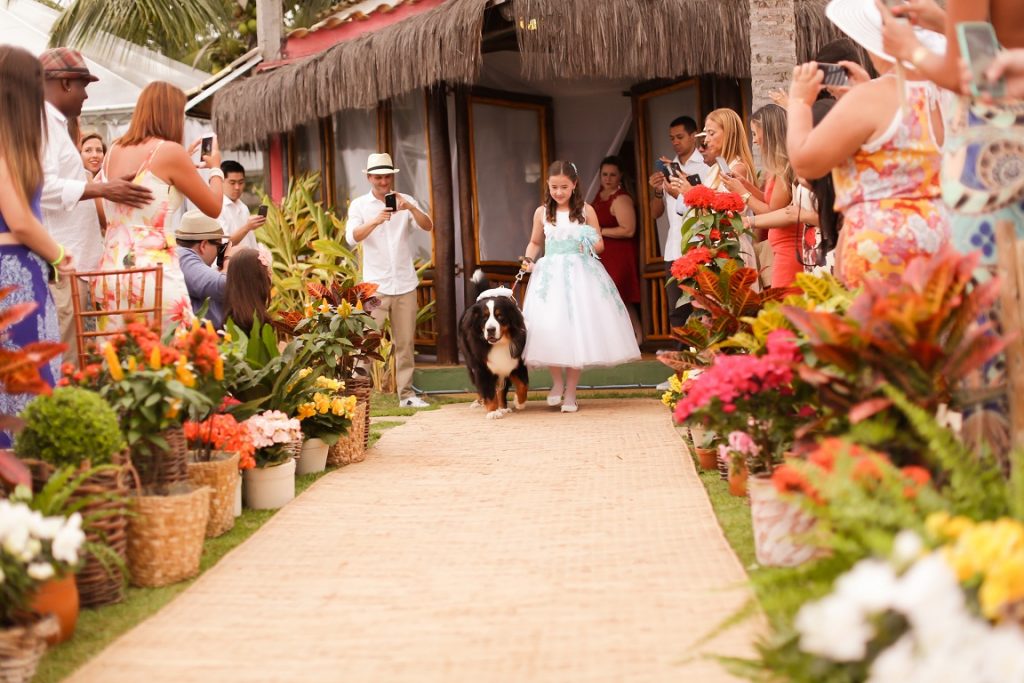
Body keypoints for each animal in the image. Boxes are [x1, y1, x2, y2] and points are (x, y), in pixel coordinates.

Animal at [460, 270, 532, 419]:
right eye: (484, 318)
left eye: (500, 316)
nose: (491, 329)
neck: (499, 344)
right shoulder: (482, 368)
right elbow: (488, 390)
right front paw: (492, 411)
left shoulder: (516, 363)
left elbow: (523, 385)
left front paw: (519, 402)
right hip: (471, 364)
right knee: (480, 387)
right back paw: (479, 402)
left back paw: (503, 407)